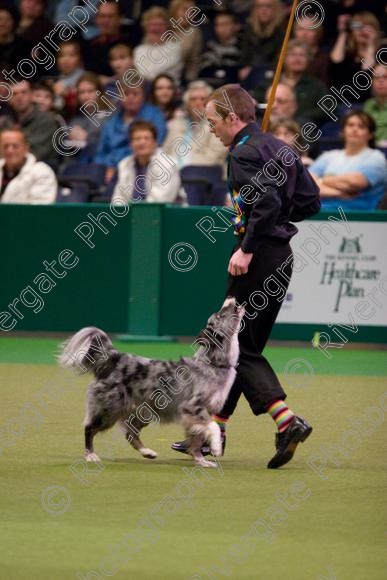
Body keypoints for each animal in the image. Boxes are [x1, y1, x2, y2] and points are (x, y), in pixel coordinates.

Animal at [58, 300, 246, 466]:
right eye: (221, 314)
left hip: (144, 412)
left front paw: (201, 461)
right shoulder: (192, 407)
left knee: (130, 433)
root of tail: (116, 359)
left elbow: (196, 440)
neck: (215, 363)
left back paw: (147, 452)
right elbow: (213, 427)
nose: (232, 298)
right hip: (109, 409)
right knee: (89, 428)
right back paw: (90, 455)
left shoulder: (198, 415)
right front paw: (216, 448)